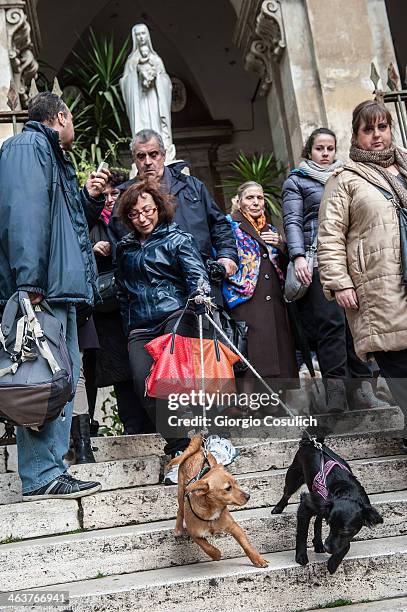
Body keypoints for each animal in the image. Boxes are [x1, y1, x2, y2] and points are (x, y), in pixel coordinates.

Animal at [272, 432, 384, 572]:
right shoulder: (306, 505)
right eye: (330, 525)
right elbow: (302, 534)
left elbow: (345, 544)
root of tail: (312, 443)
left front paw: (334, 562)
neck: (348, 492)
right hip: (294, 477)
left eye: (345, 531)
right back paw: (277, 508)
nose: (327, 548)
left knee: (318, 520)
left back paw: (318, 544)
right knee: (286, 493)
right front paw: (301, 556)